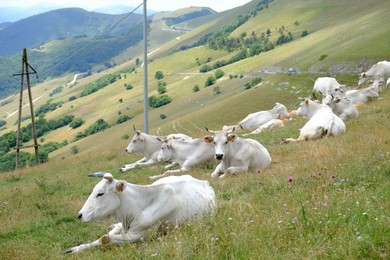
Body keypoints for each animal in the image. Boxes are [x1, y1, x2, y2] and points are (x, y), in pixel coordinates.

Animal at [64, 173, 216, 254]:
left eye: (100, 193)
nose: (80, 214)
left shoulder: (141, 235)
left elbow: (105, 238)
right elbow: (106, 235)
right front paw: (75, 248)